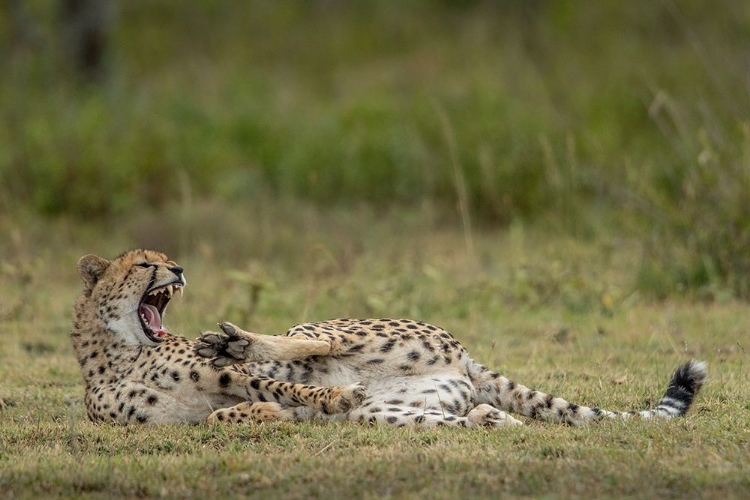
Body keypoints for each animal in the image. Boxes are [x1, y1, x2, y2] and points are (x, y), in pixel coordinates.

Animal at [69, 249, 704, 426]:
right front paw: (262, 416)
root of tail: (464, 359)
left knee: (311, 343)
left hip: (336, 329)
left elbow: (286, 388)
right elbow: (227, 414)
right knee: (476, 420)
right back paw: (490, 421)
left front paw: (306, 397)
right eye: (144, 264)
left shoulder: (225, 378)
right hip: (395, 411)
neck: (122, 352)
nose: (177, 269)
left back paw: (239, 340)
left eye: (160, 259)